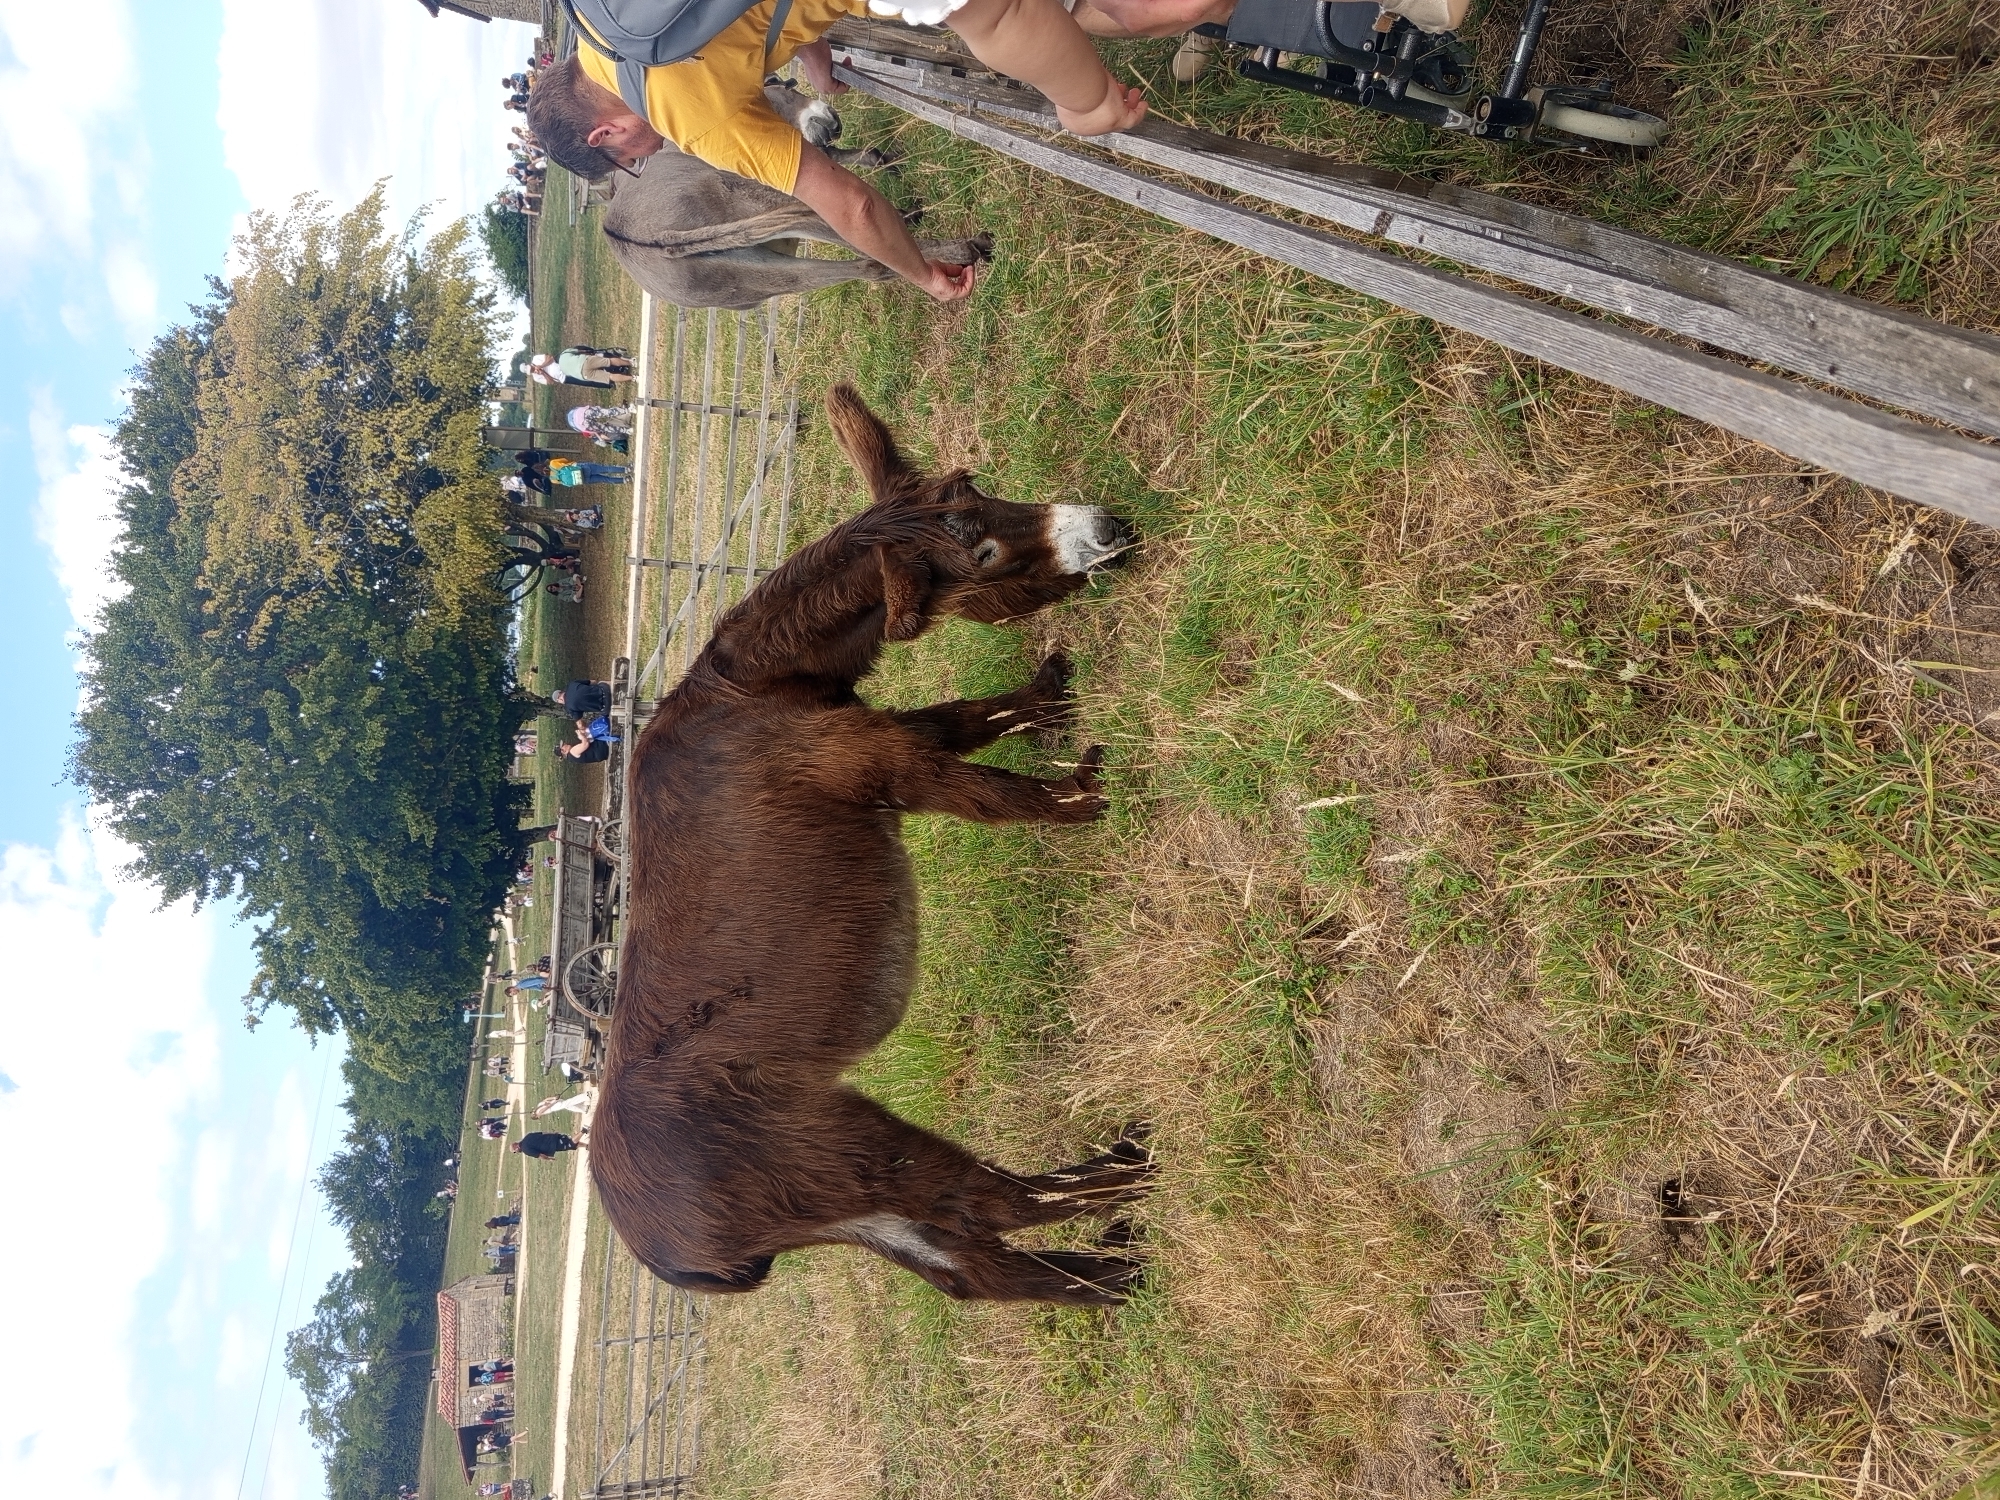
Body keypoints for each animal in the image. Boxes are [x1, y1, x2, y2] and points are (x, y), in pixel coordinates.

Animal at [588, 385, 1150, 1305]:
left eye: (976, 485)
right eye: (986, 552)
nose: (1110, 526)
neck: (748, 688)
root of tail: (664, 1254)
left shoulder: (875, 731)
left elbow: (967, 716)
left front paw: (1049, 696)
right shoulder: (878, 763)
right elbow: (993, 793)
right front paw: (1089, 795)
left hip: (841, 1203)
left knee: (977, 1270)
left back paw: (1122, 1276)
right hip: (838, 1151)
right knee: (997, 1205)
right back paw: (1140, 1177)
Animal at [599, 82, 992, 311]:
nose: (832, 122)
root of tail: (625, 235)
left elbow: (856, 157)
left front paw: (892, 169)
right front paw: (907, 208)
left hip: (758, 278)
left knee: (871, 266)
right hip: (766, 209)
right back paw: (962, 249)